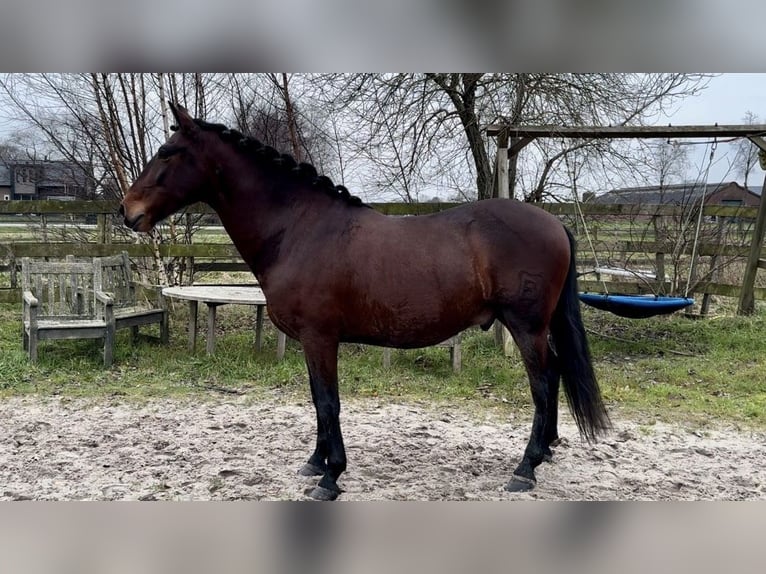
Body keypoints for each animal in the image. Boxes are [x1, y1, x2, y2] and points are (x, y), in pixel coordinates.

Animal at [121, 103, 612, 500]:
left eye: (166, 152)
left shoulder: (319, 338)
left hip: (526, 326)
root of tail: (554, 223)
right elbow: (317, 400)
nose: (128, 212)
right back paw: (545, 453)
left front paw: (330, 477)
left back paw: (525, 469)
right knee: (555, 375)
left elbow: (327, 402)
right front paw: (315, 463)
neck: (298, 228)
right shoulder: (311, 342)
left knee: (543, 384)